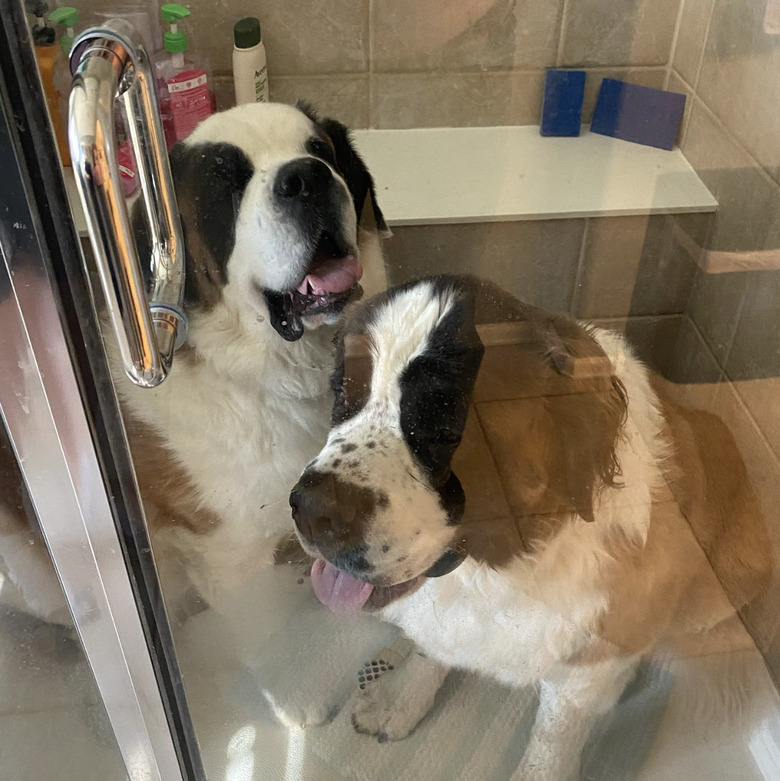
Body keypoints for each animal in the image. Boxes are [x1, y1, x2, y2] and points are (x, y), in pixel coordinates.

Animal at [290, 274, 768, 780]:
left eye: (446, 421)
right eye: (344, 393)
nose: (311, 510)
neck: (506, 562)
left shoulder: (591, 659)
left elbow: (554, 734)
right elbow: (433, 652)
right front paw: (402, 698)